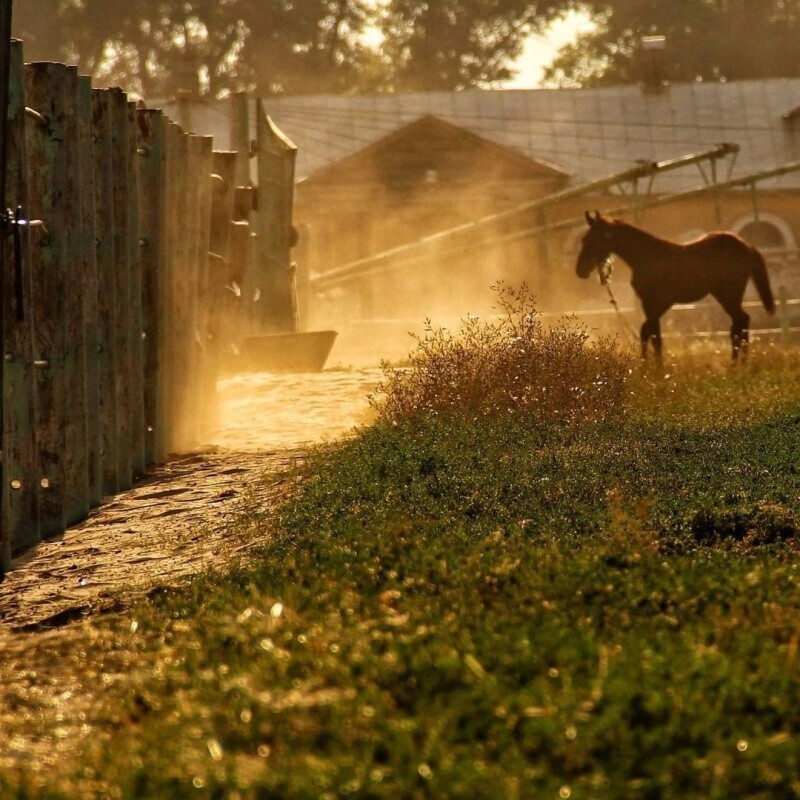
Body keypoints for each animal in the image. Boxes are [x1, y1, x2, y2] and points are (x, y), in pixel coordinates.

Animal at [576, 211, 776, 364]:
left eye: (593, 240)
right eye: (584, 239)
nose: (580, 270)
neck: (646, 256)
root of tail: (747, 246)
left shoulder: (656, 302)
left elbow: (650, 333)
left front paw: (651, 370)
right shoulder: (656, 305)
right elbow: (651, 334)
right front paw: (652, 369)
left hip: (728, 295)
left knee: (740, 323)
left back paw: (738, 365)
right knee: (739, 325)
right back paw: (739, 364)